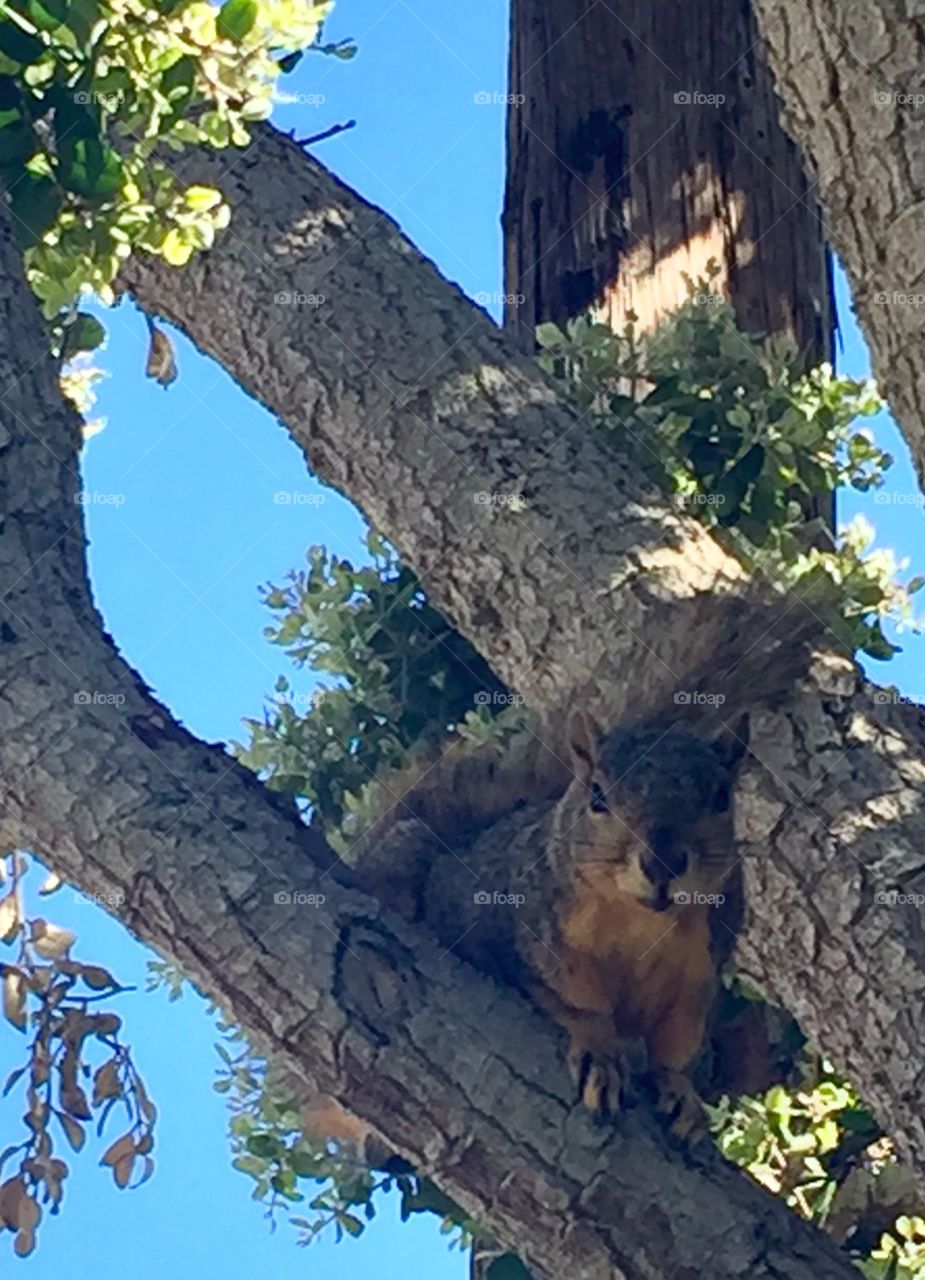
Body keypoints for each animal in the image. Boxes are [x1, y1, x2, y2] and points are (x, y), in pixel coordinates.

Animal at [340, 711, 752, 1141]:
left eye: (722, 797)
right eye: (597, 796)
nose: (663, 863)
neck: (643, 922)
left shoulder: (697, 977)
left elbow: (674, 1048)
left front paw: (679, 1090)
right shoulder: (534, 947)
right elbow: (578, 1007)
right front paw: (600, 1055)